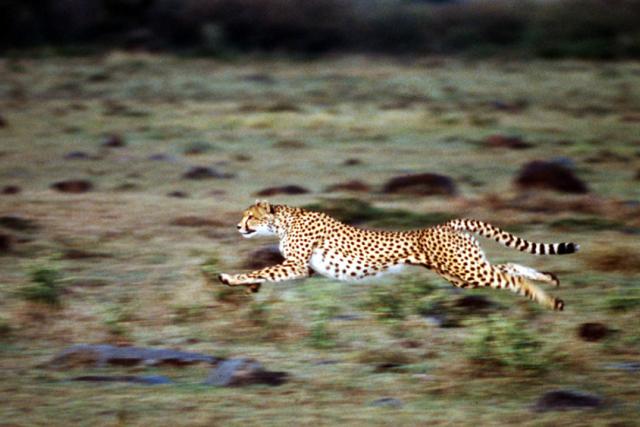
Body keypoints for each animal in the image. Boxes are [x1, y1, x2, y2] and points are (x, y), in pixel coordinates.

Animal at [218, 200, 579, 310]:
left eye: (250, 216)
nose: (237, 225)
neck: (283, 221)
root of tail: (446, 223)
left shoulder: (296, 266)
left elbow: (261, 270)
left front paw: (231, 278)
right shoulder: (301, 268)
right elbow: (264, 274)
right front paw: (249, 286)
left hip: (466, 271)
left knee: (508, 277)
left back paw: (550, 300)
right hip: (464, 271)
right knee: (509, 267)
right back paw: (550, 279)